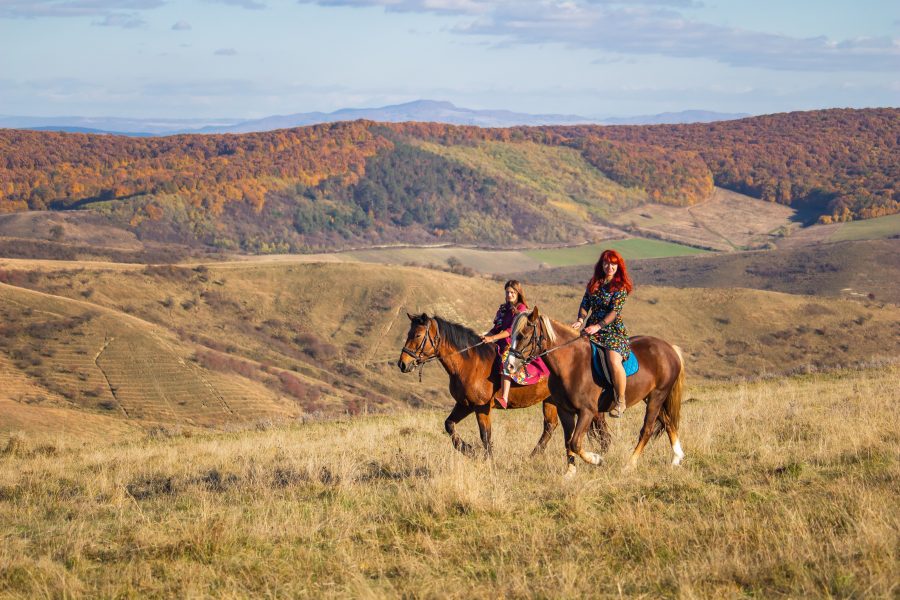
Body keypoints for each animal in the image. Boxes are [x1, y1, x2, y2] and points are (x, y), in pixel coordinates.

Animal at [396, 312, 612, 458]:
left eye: (417, 335)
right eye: (408, 333)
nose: (402, 364)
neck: (470, 362)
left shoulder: (481, 407)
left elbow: (485, 435)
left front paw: (487, 459)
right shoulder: (465, 405)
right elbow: (449, 425)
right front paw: (468, 450)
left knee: (601, 430)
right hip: (551, 400)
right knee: (550, 427)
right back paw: (533, 456)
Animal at [502, 308, 684, 476]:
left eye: (523, 335)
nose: (509, 366)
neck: (571, 364)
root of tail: (670, 348)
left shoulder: (587, 411)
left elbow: (576, 442)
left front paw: (597, 459)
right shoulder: (565, 411)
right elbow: (568, 441)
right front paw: (570, 472)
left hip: (657, 396)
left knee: (647, 430)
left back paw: (629, 465)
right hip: (651, 398)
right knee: (668, 422)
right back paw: (677, 458)